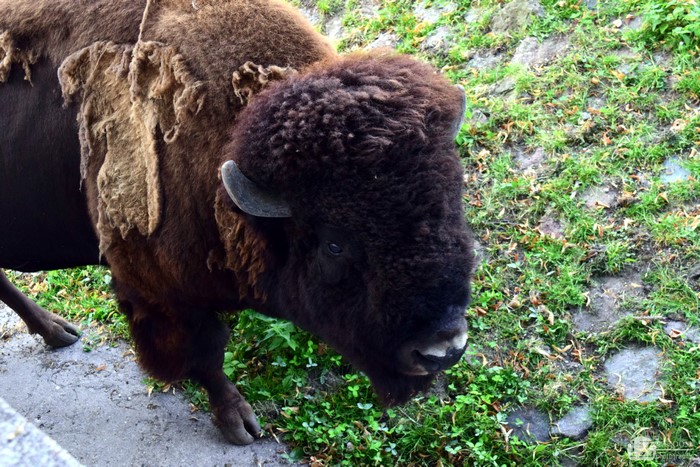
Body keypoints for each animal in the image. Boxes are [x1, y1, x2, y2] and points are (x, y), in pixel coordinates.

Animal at [0, 0, 474, 445]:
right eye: (334, 244)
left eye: (453, 201)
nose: (442, 349)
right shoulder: (159, 292)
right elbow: (206, 355)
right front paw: (238, 423)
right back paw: (55, 330)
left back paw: (57, 332)